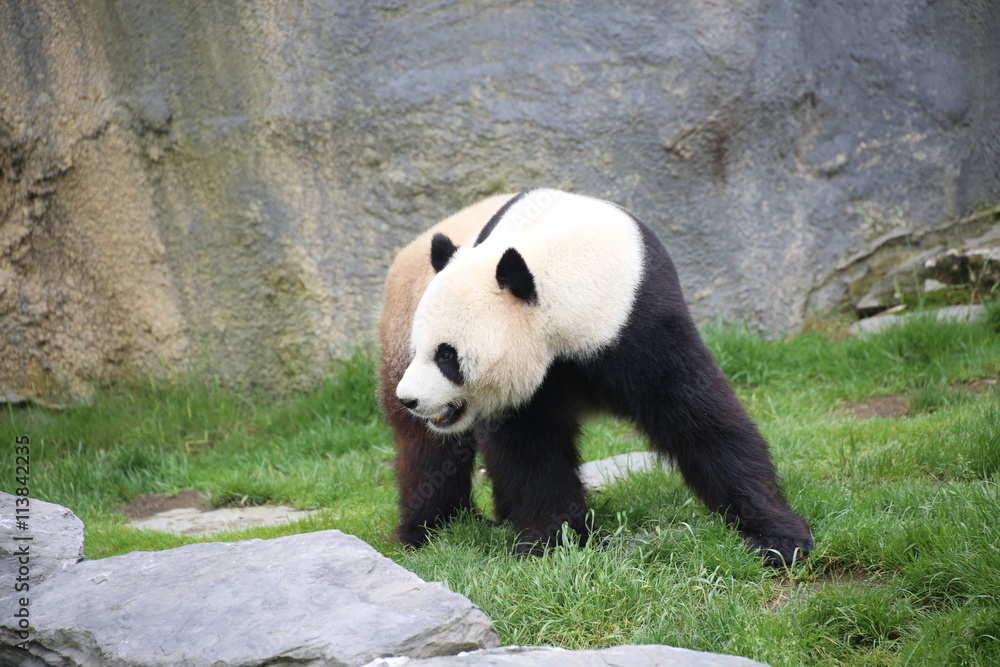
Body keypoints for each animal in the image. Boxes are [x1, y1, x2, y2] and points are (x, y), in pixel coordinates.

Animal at [377, 188, 813, 565]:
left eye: (446, 355)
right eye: (423, 349)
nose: (411, 398)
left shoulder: (639, 320)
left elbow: (700, 418)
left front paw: (777, 538)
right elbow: (528, 448)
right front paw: (550, 542)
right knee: (427, 450)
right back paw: (434, 530)